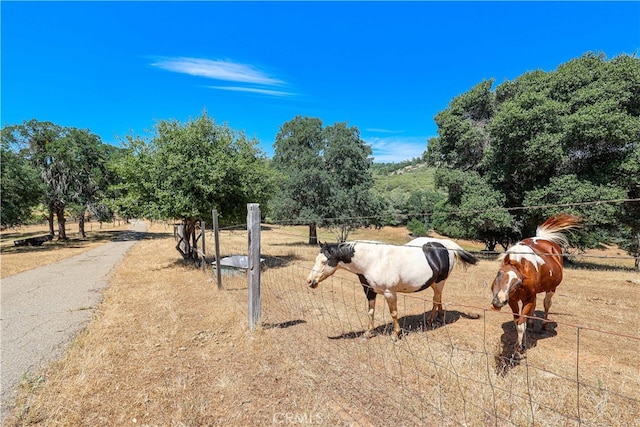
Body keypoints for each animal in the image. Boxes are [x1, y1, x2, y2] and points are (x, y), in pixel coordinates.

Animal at [308, 237, 478, 342]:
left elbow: (394, 313)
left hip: (440, 282)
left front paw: (395, 336)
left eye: (324, 261)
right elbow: (370, 312)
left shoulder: (390, 293)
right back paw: (439, 317)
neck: (373, 261)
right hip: (433, 283)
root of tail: (445, 245)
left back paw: (430, 322)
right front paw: (368, 333)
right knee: (439, 298)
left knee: (436, 300)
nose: (310, 281)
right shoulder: (370, 291)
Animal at [490, 216, 580, 352]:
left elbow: (521, 324)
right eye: (499, 273)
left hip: (551, 289)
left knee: (546, 304)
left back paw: (543, 327)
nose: (498, 301)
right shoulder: (512, 300)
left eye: (517, 282)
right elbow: (518, 321)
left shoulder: (528, 299)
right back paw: (532, 325)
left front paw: (519, 347)